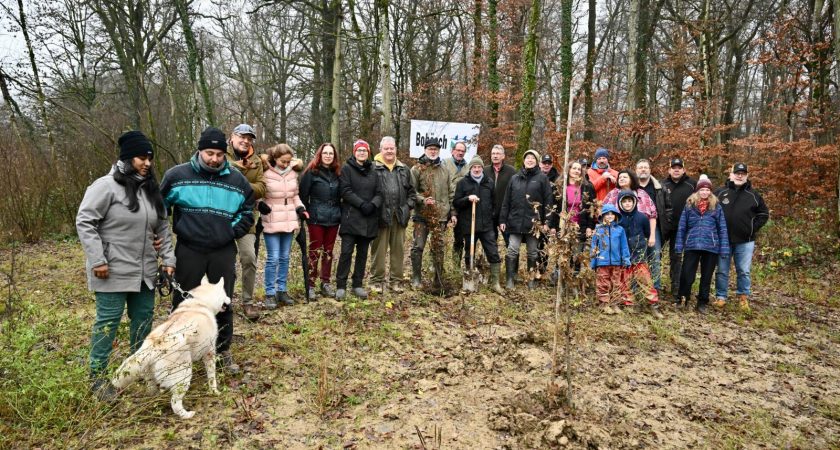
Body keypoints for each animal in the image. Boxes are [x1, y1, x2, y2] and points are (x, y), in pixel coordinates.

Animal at [111, 276, 230, 419]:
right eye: (225, 293)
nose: (230, 300)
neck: (200, 302)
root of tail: (154, 345)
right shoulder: (209, 352)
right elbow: (212, 377)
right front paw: (214, 391)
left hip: (152, 377)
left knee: (152, 390)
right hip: (184, 377)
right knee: (175, 403)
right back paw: (186, 414)